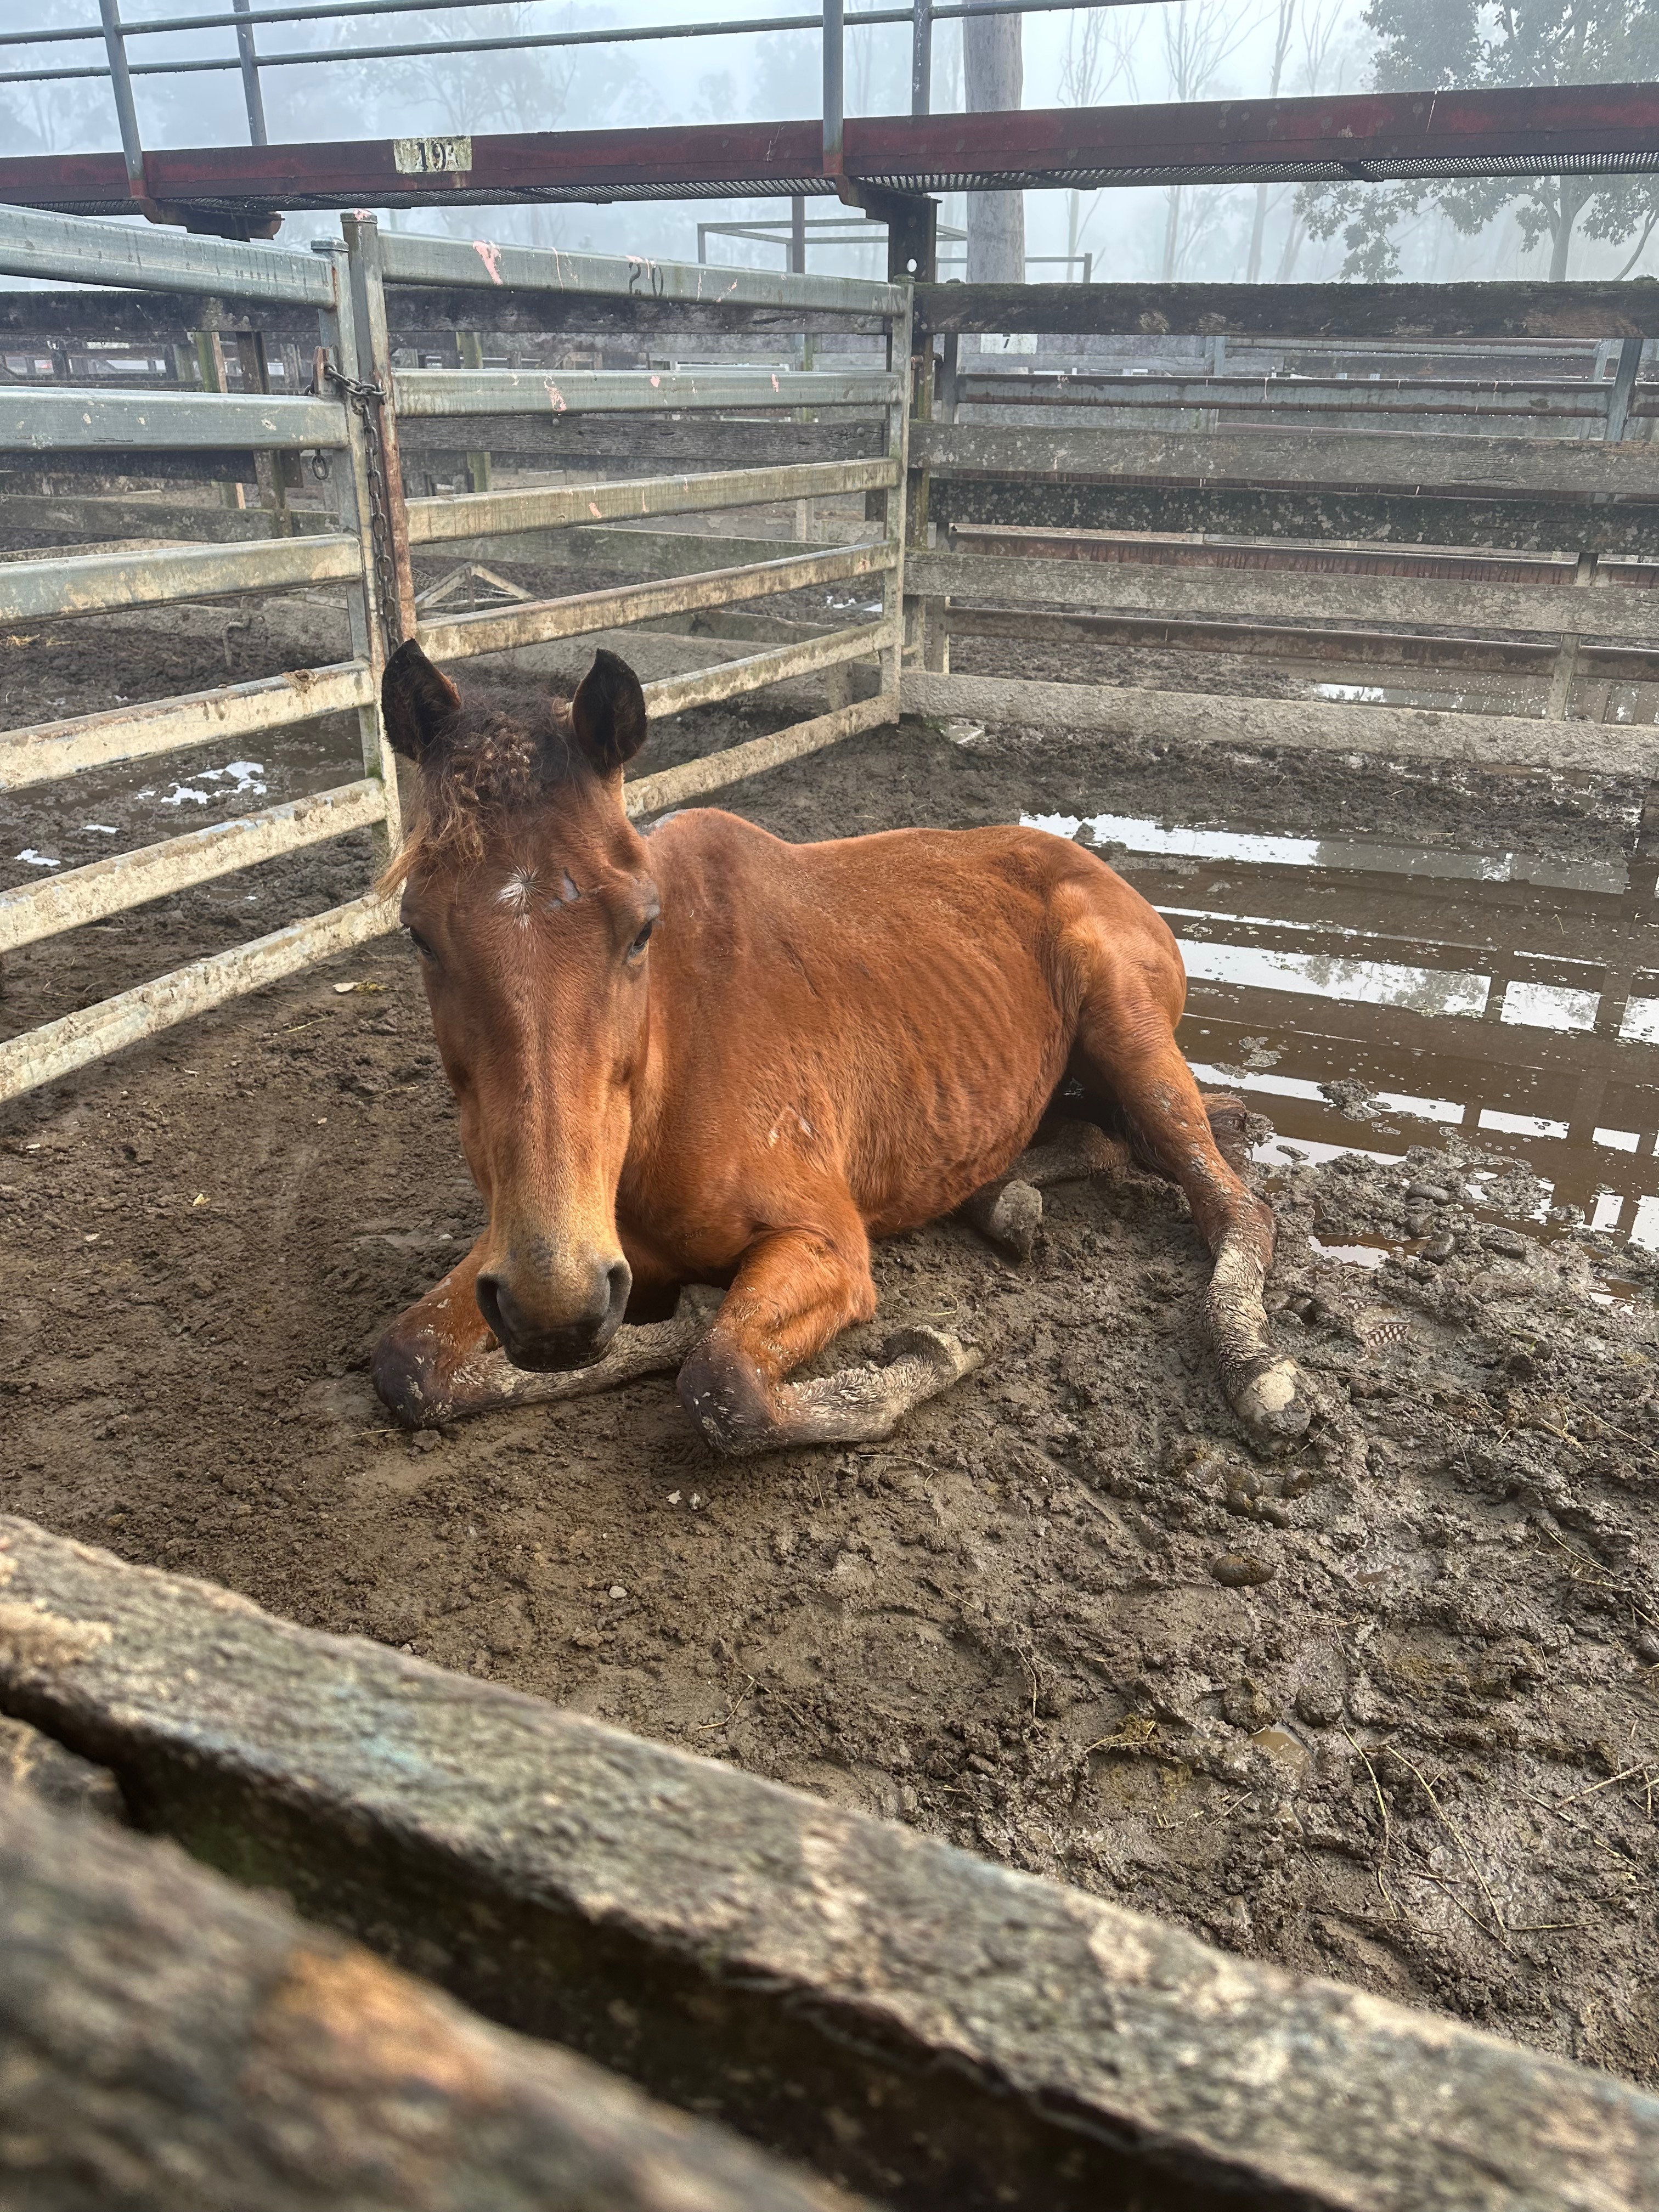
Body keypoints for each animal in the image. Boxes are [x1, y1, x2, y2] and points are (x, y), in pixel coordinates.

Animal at [368, 640, 1309, 1457]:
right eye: (417, 932)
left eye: (640, 929)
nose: (554, 1303)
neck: (670, 1073)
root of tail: (1098, 867)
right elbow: (408, 1364)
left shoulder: (825, 1243)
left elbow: (724, 1385)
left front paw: (930, 1357)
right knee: (1105, 1141)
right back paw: (1004, 1199)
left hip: (1127, 1030)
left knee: (1230, 1202)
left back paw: (1259, 1373)